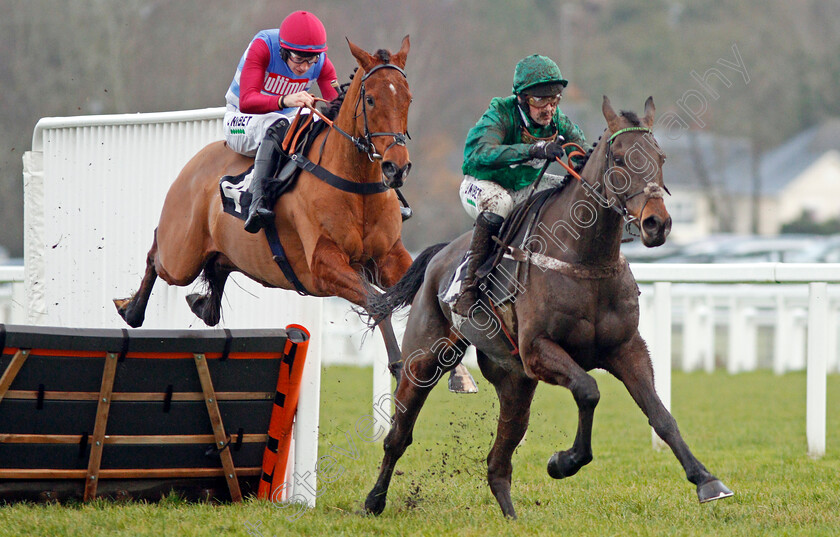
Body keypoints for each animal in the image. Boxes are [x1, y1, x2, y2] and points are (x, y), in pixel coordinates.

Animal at [114, 35, 476, 384]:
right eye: (371, 99)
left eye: (408, 99)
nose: (396, 168)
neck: (356, 186)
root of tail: (194, 164)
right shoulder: (323, 266)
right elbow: (377, 303)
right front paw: (401, 366)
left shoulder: (387, 257)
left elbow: (422, 293)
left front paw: (457, 371)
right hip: (181, 258)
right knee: (156, 254)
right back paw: (130, 309)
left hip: (224, 254)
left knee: (213, 279)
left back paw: (200, 303)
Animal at [364, 97, 732, 520]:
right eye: (619, 158)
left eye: (661, 157)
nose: (657, 223)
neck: (585, 260)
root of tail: (439, 255)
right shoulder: (539, 349)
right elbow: (589, 390)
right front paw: (564, 461)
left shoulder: (626, 348)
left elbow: (661, 415)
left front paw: (707, 480)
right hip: (425, 359)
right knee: (399, 434)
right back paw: (374, 500)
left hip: (514, 380)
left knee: (498, 459)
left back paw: (510, 515)